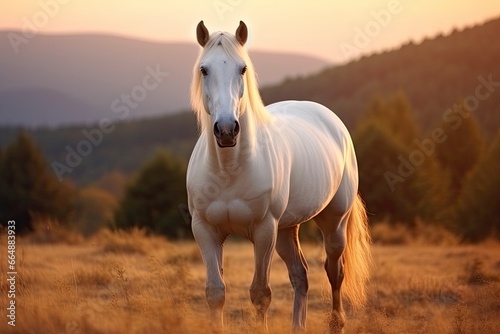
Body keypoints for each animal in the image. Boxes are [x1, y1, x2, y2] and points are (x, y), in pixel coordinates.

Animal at [188, 20, 372, 334]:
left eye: (242, 68)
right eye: (204, 69)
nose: (226, 130)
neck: (228, 170)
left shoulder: (264, 231)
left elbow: (260, 293)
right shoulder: (205, 231)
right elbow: (215, 292)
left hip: (333, 222)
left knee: (334, 272)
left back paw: (337, 322)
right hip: (286, 229)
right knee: (301, 275)